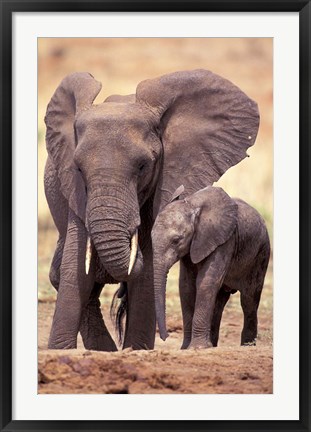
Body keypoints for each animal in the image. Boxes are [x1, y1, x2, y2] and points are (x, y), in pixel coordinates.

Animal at [43, 68, 258, 352]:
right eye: (78, 168)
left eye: (143, 166)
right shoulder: (76, 193)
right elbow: (75, 268)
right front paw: (59, 350)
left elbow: (144, 278)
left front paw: (137, 348)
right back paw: (104, 349)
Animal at [152, 185, 270, 348]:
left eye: (176, 240)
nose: (165, 337)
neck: (192, 205)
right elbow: (186, 287)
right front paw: (186, 348)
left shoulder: (225, 240)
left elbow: (206, 282)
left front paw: (197, 348)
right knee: (219, 303)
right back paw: (212, 345)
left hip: (260, 256)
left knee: (249, 300)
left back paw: (247, 346)